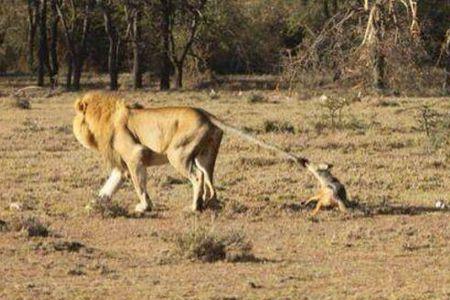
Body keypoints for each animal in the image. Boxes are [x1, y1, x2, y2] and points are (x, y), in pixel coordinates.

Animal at [73, 92, 310, 212]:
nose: (73, 125)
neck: (104, 116)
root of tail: (205, 113)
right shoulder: (122, 166)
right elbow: (108, 187)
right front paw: (93, 204)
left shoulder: (134, 154)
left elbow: (139, 185)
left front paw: (144, 206)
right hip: (206, 155)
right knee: (209, 179)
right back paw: (208, 203)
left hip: (176, 154)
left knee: (197, 176)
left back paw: (194, 207)